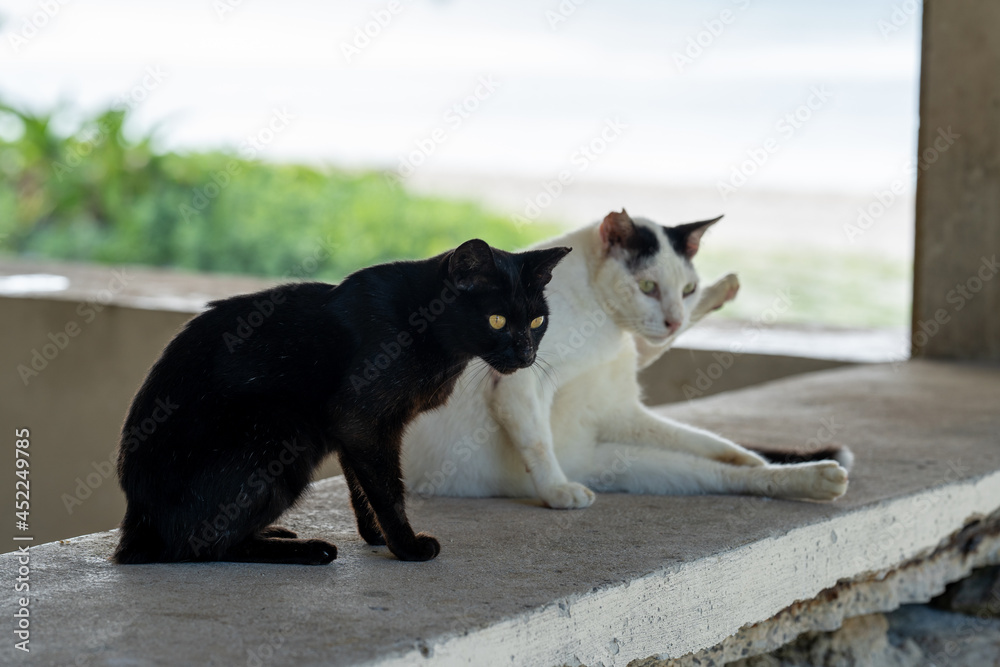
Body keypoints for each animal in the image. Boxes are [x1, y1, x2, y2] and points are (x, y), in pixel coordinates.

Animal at [114, 240, 572, 564]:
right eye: (496, 320)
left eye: (537, 320)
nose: (527, 353)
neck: (422, 325)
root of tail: (138, 521)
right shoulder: (362, 420)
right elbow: (387, 489)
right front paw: (407, 547)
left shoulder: (354, 432)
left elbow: (361, 487)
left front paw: (378, 537)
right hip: (280, 433)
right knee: (199, 546)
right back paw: (308, 550)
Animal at [402, 211, 848, 508]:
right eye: (648, 287)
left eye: (686, 289)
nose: (673, 318)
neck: (606, 327)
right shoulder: (516, 381)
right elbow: (538, 442)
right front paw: (556, 492)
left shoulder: (621, 408)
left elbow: (704, 438)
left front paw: (745, 453)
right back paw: (817, 478)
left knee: (723, 470)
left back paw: (809, 476)